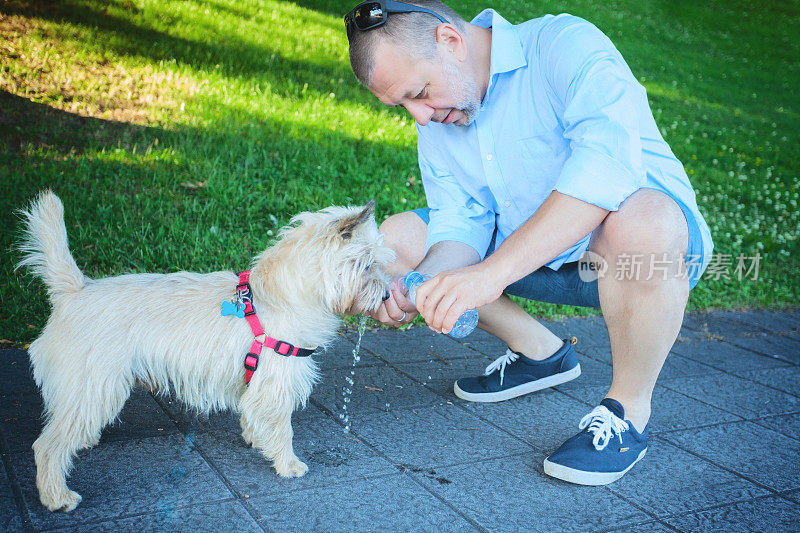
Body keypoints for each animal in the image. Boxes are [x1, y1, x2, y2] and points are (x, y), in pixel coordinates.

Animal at [16, 191, 394, 512]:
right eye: (367, 264)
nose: (388, 296)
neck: (282, 294)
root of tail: (74, 291)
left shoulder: (258, 383)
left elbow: (254, 416)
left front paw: (257, 440)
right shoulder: (278, 383)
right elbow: (283, 426)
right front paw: (288, 464)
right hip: (92, 387)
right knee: (46, 446)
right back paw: (57, 496)